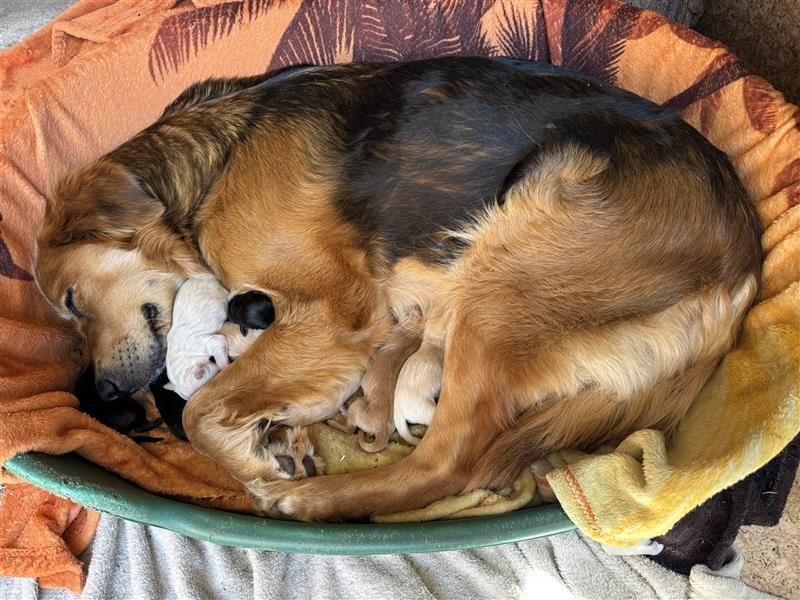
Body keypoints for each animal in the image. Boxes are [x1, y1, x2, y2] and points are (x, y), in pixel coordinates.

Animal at [32, 58, 764, 524]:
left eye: (69, 303)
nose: (101, 391)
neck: (215, 162)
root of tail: (742, 272)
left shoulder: (329, 312)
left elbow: (200, 412)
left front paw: (256, 463)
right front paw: (275, 439)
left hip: (502, 282)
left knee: (451, 466)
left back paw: (318, 503)